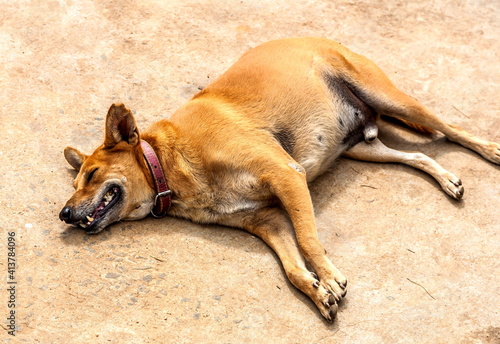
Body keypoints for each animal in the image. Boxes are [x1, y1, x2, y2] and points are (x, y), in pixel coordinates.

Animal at [59, 37, 500, 320]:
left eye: (93, 175)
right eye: (75, 184)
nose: (63, 214)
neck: (165, 162)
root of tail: (317, 36)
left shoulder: (286, 175)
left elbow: (307, 239)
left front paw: (329, 276)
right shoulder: (266, 222)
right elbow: (291, 266)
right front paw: (317, 291)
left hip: (392, 98)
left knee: (451, 130)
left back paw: (491, 150)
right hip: (362, 147)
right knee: (419, 154)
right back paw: (446, 180)